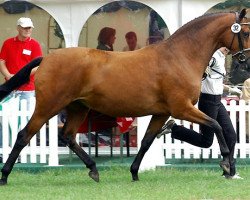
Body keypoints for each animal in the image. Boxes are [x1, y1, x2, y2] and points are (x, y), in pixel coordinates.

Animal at [0, 9, 250, 184]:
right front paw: (226, 165)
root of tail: (47, 58)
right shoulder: (182, 108)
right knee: (24, 135)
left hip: (78, 107)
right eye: (245, 32)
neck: (179, 56)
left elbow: (147, 141)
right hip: (48, 106)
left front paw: (134, 172)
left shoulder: (162, 113)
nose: (245, 63)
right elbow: (216, 124)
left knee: (68, 136)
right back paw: (4, 176)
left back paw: (93, 169)